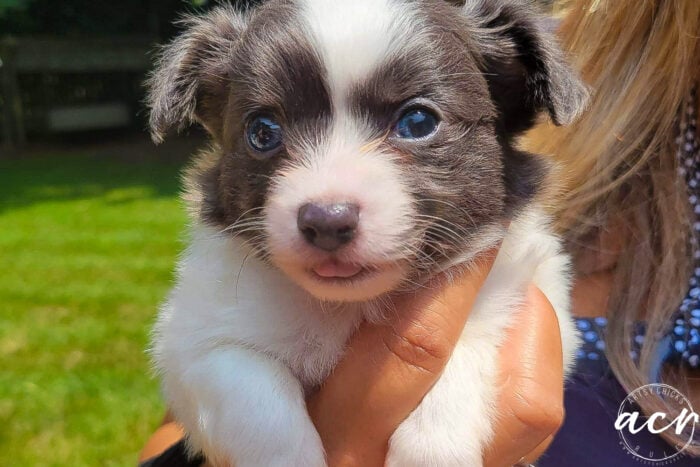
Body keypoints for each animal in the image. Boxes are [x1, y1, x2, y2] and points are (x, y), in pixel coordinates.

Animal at [146, 1, 584, 466]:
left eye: (417, 121)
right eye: (262, 131)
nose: (327, 221)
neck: (350, 306)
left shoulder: (531, 300)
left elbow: (469, 348)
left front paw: (432, 447)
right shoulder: (189, 341)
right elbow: (257, 397)